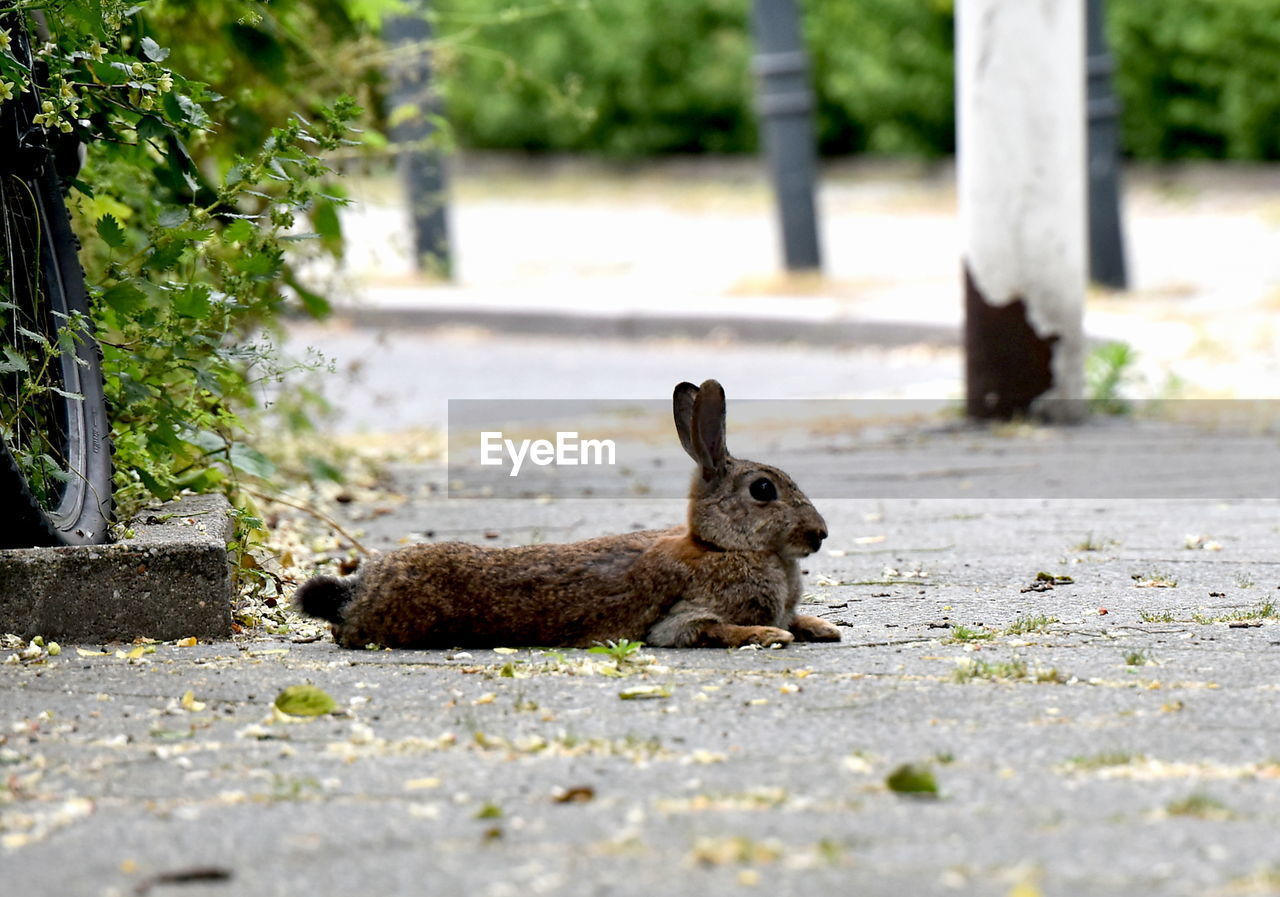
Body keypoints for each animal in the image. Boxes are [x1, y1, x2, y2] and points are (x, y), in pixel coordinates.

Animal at [295, 378, 844, 650]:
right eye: (763, 489)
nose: (819, 534)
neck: (722, 546)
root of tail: (355, 596)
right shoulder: (684, 620)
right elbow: (710, 631)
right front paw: (770, 634)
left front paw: (821, 627)